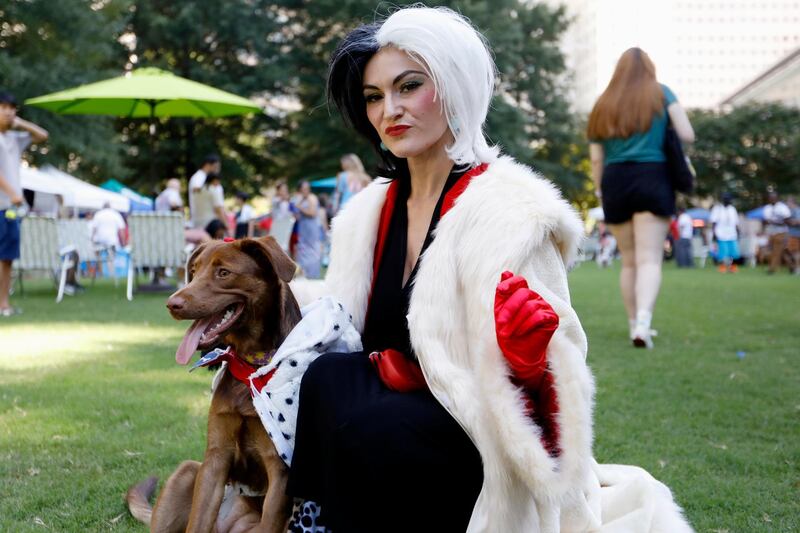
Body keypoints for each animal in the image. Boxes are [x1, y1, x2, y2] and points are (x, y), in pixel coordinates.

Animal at [128, 237, 304, 532]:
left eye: (223, 273)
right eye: (194, 271)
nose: (172, 304)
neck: (250, 367)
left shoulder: (279, 471)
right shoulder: (215, 460)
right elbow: (198, 520)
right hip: (187, 472)